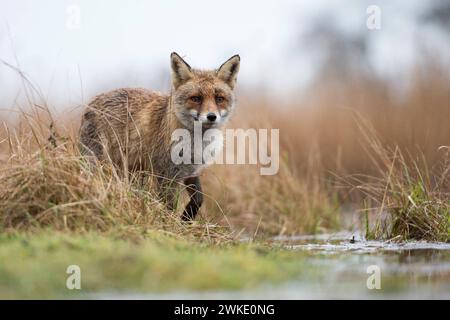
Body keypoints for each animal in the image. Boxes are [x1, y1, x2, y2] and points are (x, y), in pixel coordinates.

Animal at [78, 52, 239, 221]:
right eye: (196, 98)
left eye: (219, 99)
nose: (211, 116)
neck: (195, 144)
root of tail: (91, 103)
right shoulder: (166, 174)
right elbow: (169, 207)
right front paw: (173, 224)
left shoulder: (190, 170)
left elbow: (198, 199)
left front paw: (186, 218)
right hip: (98, 163)